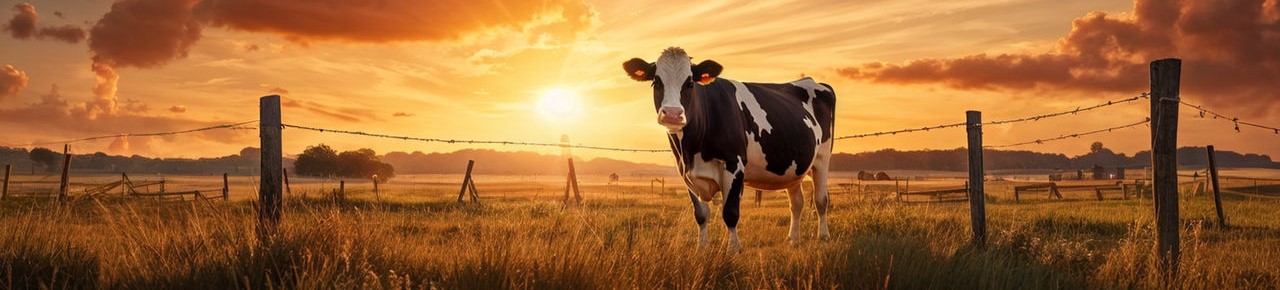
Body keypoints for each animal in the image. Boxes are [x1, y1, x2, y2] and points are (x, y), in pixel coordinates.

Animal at [622, 47, 839, 249]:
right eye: (656, 82)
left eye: (690, 83)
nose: (673, 114)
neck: (692, 150)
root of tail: (814, 81)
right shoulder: (686, 172)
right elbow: (701, 214)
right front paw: (702, 248)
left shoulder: (734, 165)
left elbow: (730, 212)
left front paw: (733, 249)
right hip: (794, 168)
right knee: (796, 203)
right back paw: (793, 239)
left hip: (822, 159)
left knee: (821, 200)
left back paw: (824, 237)